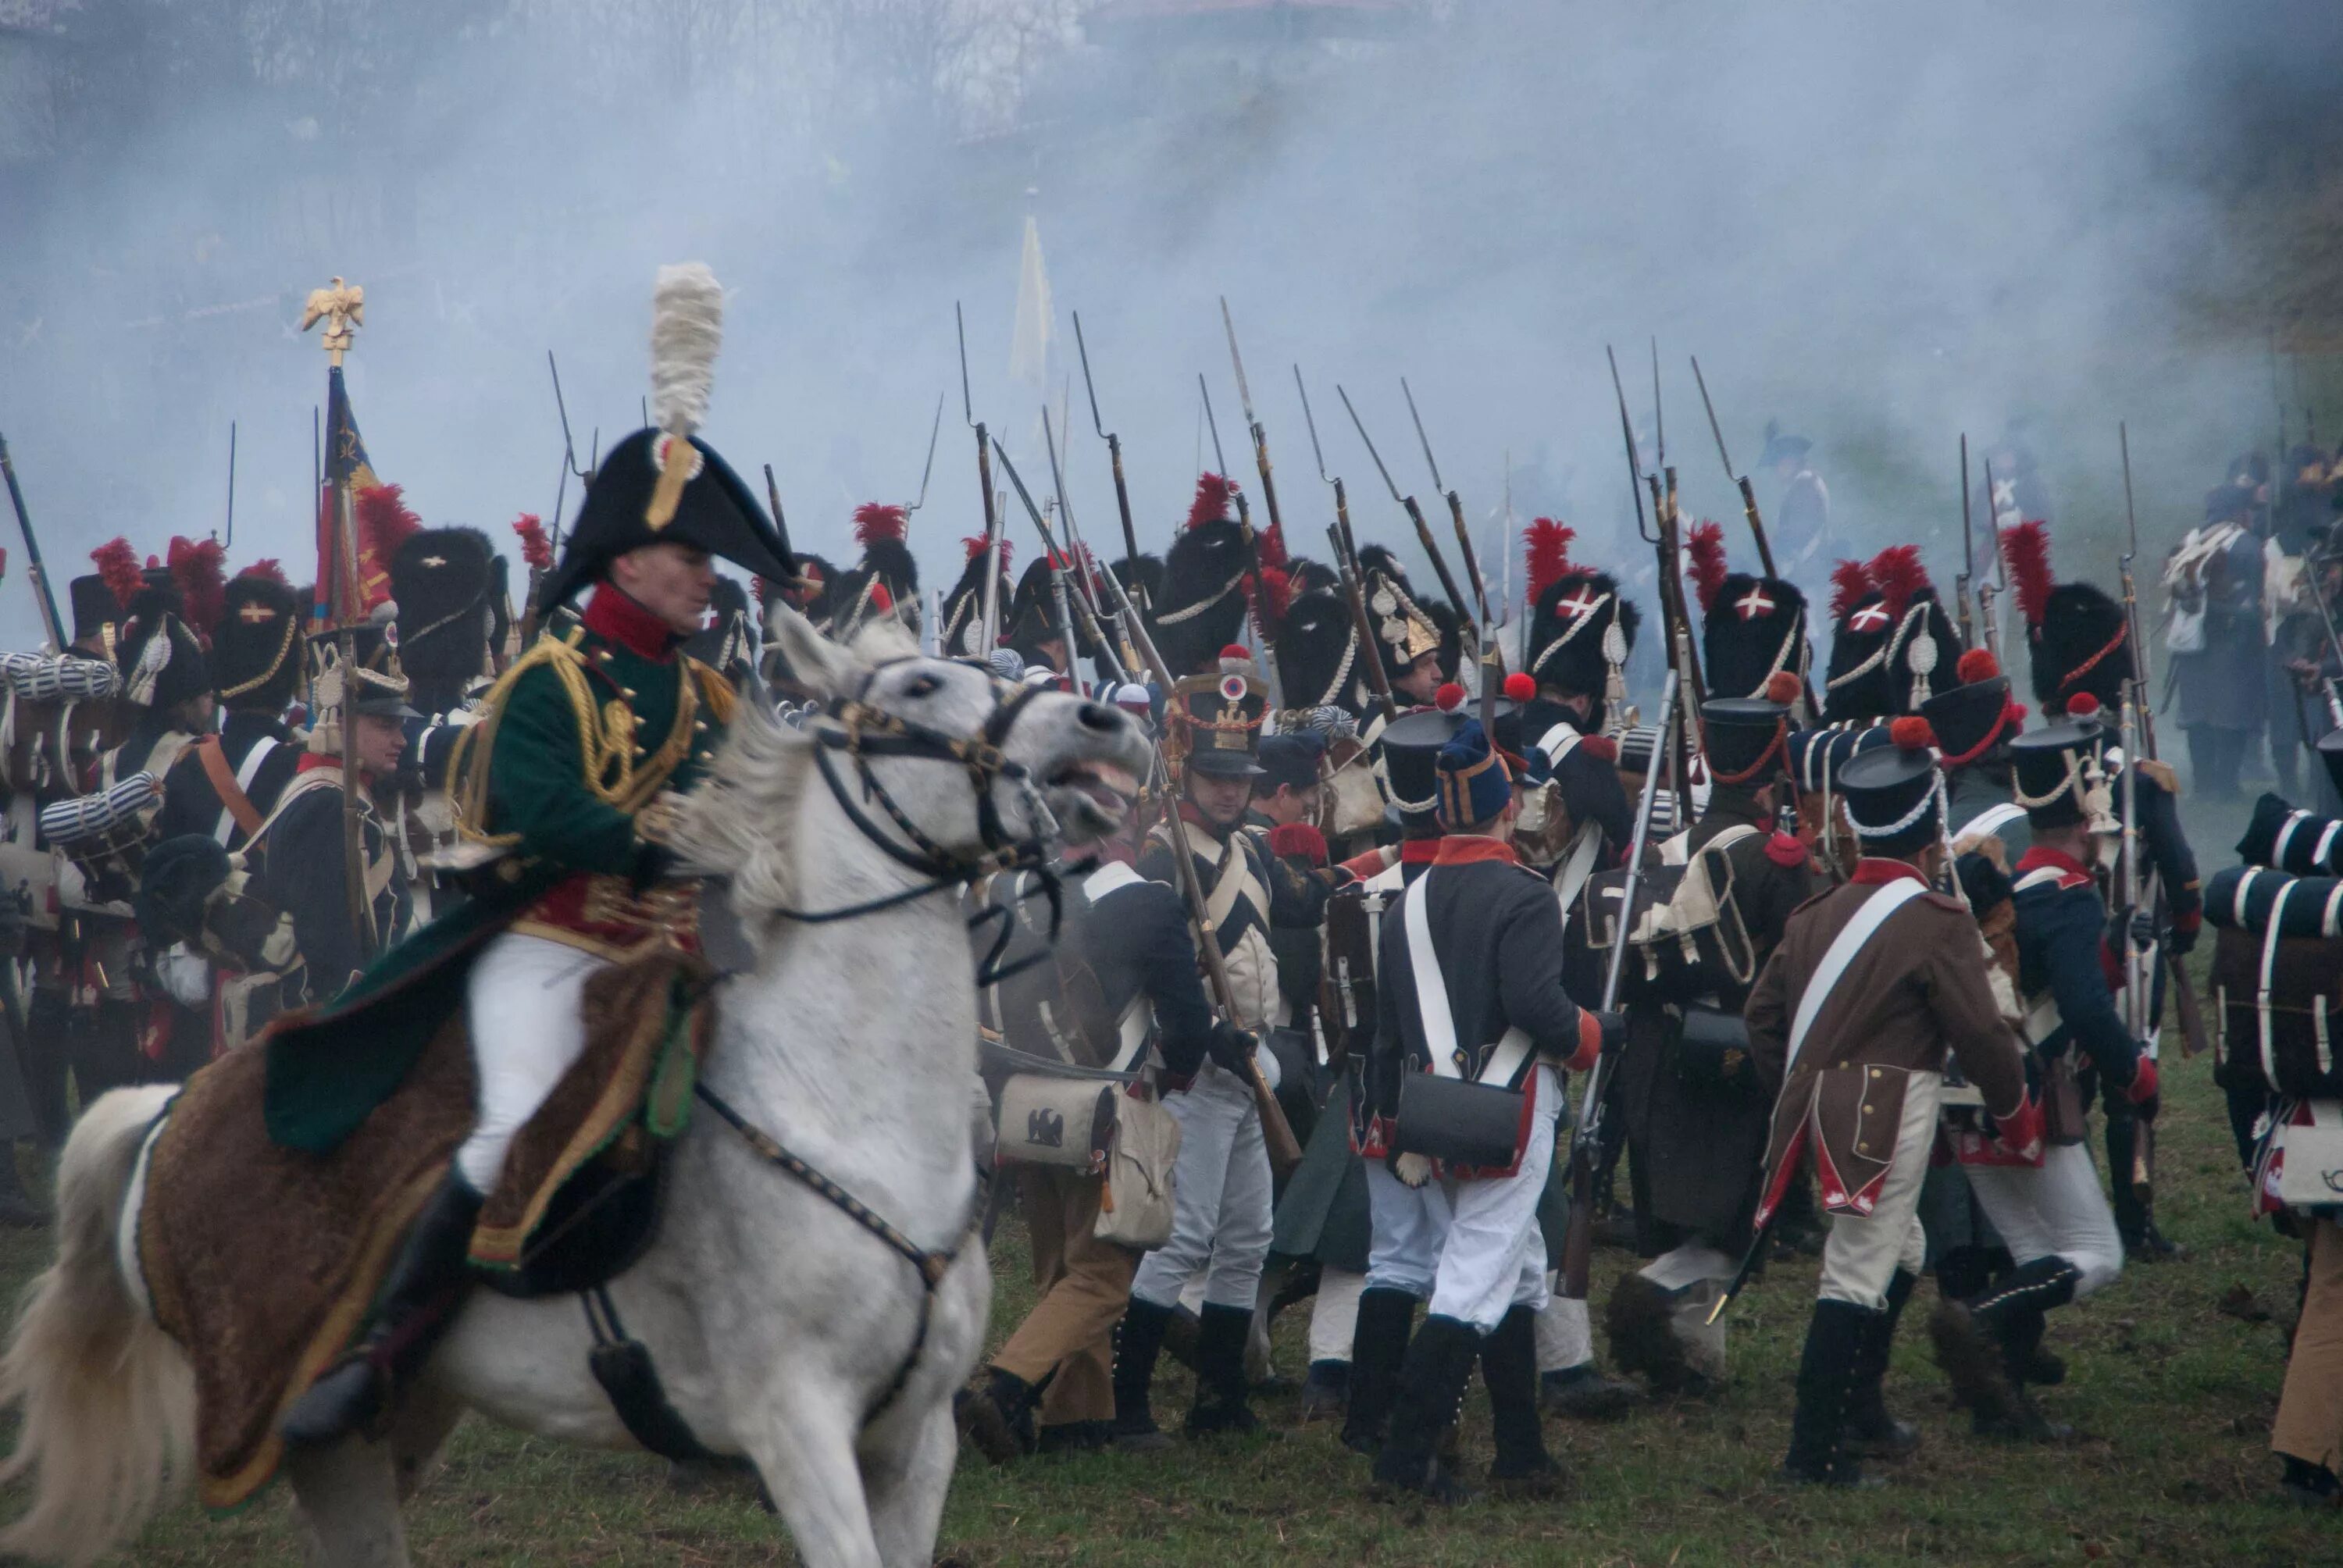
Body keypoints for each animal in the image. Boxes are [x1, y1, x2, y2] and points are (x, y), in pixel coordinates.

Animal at [0, 609, 1143, 1565]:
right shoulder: (796, 1424)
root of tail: (168, 1110)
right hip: (306, 1434)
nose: (1107, 724)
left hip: (400, 1418)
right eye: (917, 685)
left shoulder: (913, 1442)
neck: (845, 1110)